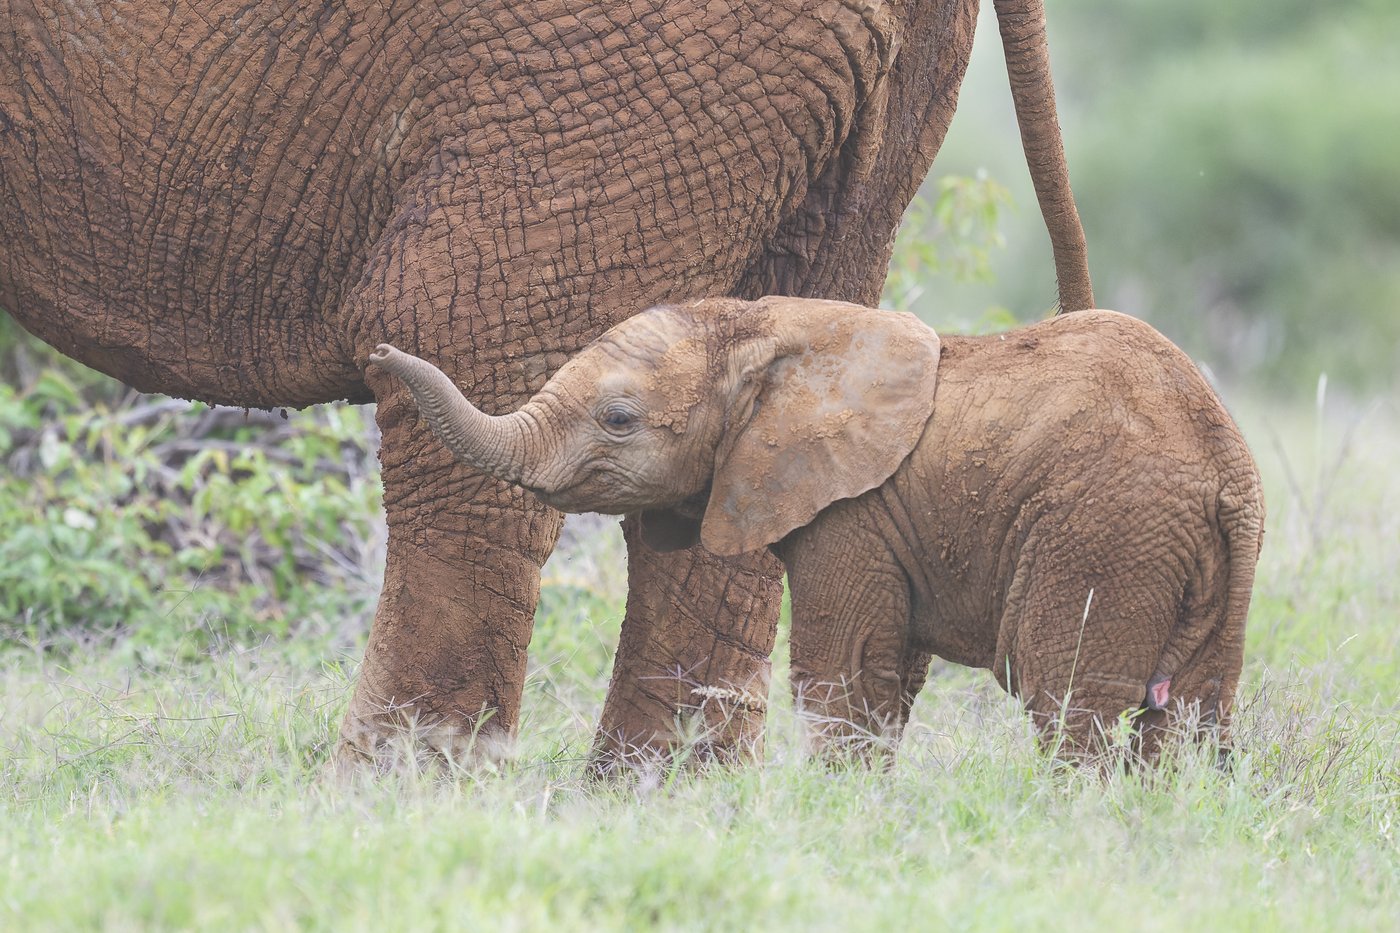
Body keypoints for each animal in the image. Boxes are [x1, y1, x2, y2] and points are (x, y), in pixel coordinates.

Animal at [369, 297, 1265, 760]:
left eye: (619, 419)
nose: (378, 353)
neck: (768, 328)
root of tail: (1224, 462)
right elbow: (891, 681)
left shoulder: (852, 513)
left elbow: (849, 679)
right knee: (1188, 721)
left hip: (1107, 532)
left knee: (1072, 705)